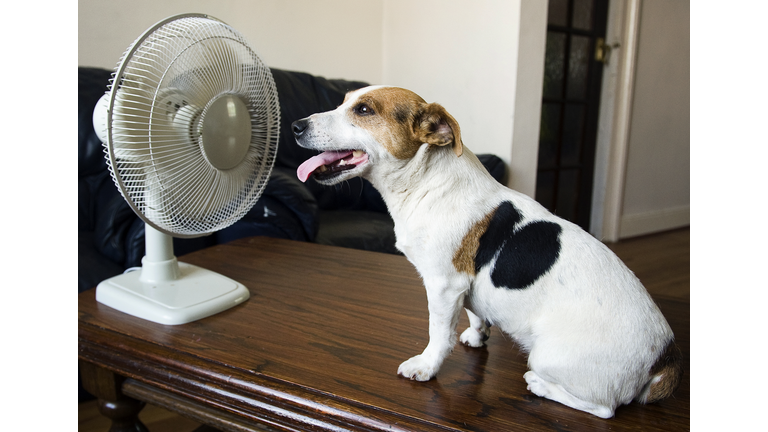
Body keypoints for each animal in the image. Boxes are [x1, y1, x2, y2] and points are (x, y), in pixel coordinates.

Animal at [292, 85, 680, 418]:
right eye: (344, 101)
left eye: (363, 110)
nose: (296, 126)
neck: (426, 182)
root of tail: (664, 359)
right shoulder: (465, 286)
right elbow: (475, 313)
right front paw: (478, 337)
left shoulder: (443, 285)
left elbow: (439, 334)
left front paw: (426, 367)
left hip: (548, 357)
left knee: (603, 409)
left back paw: (540, 386)